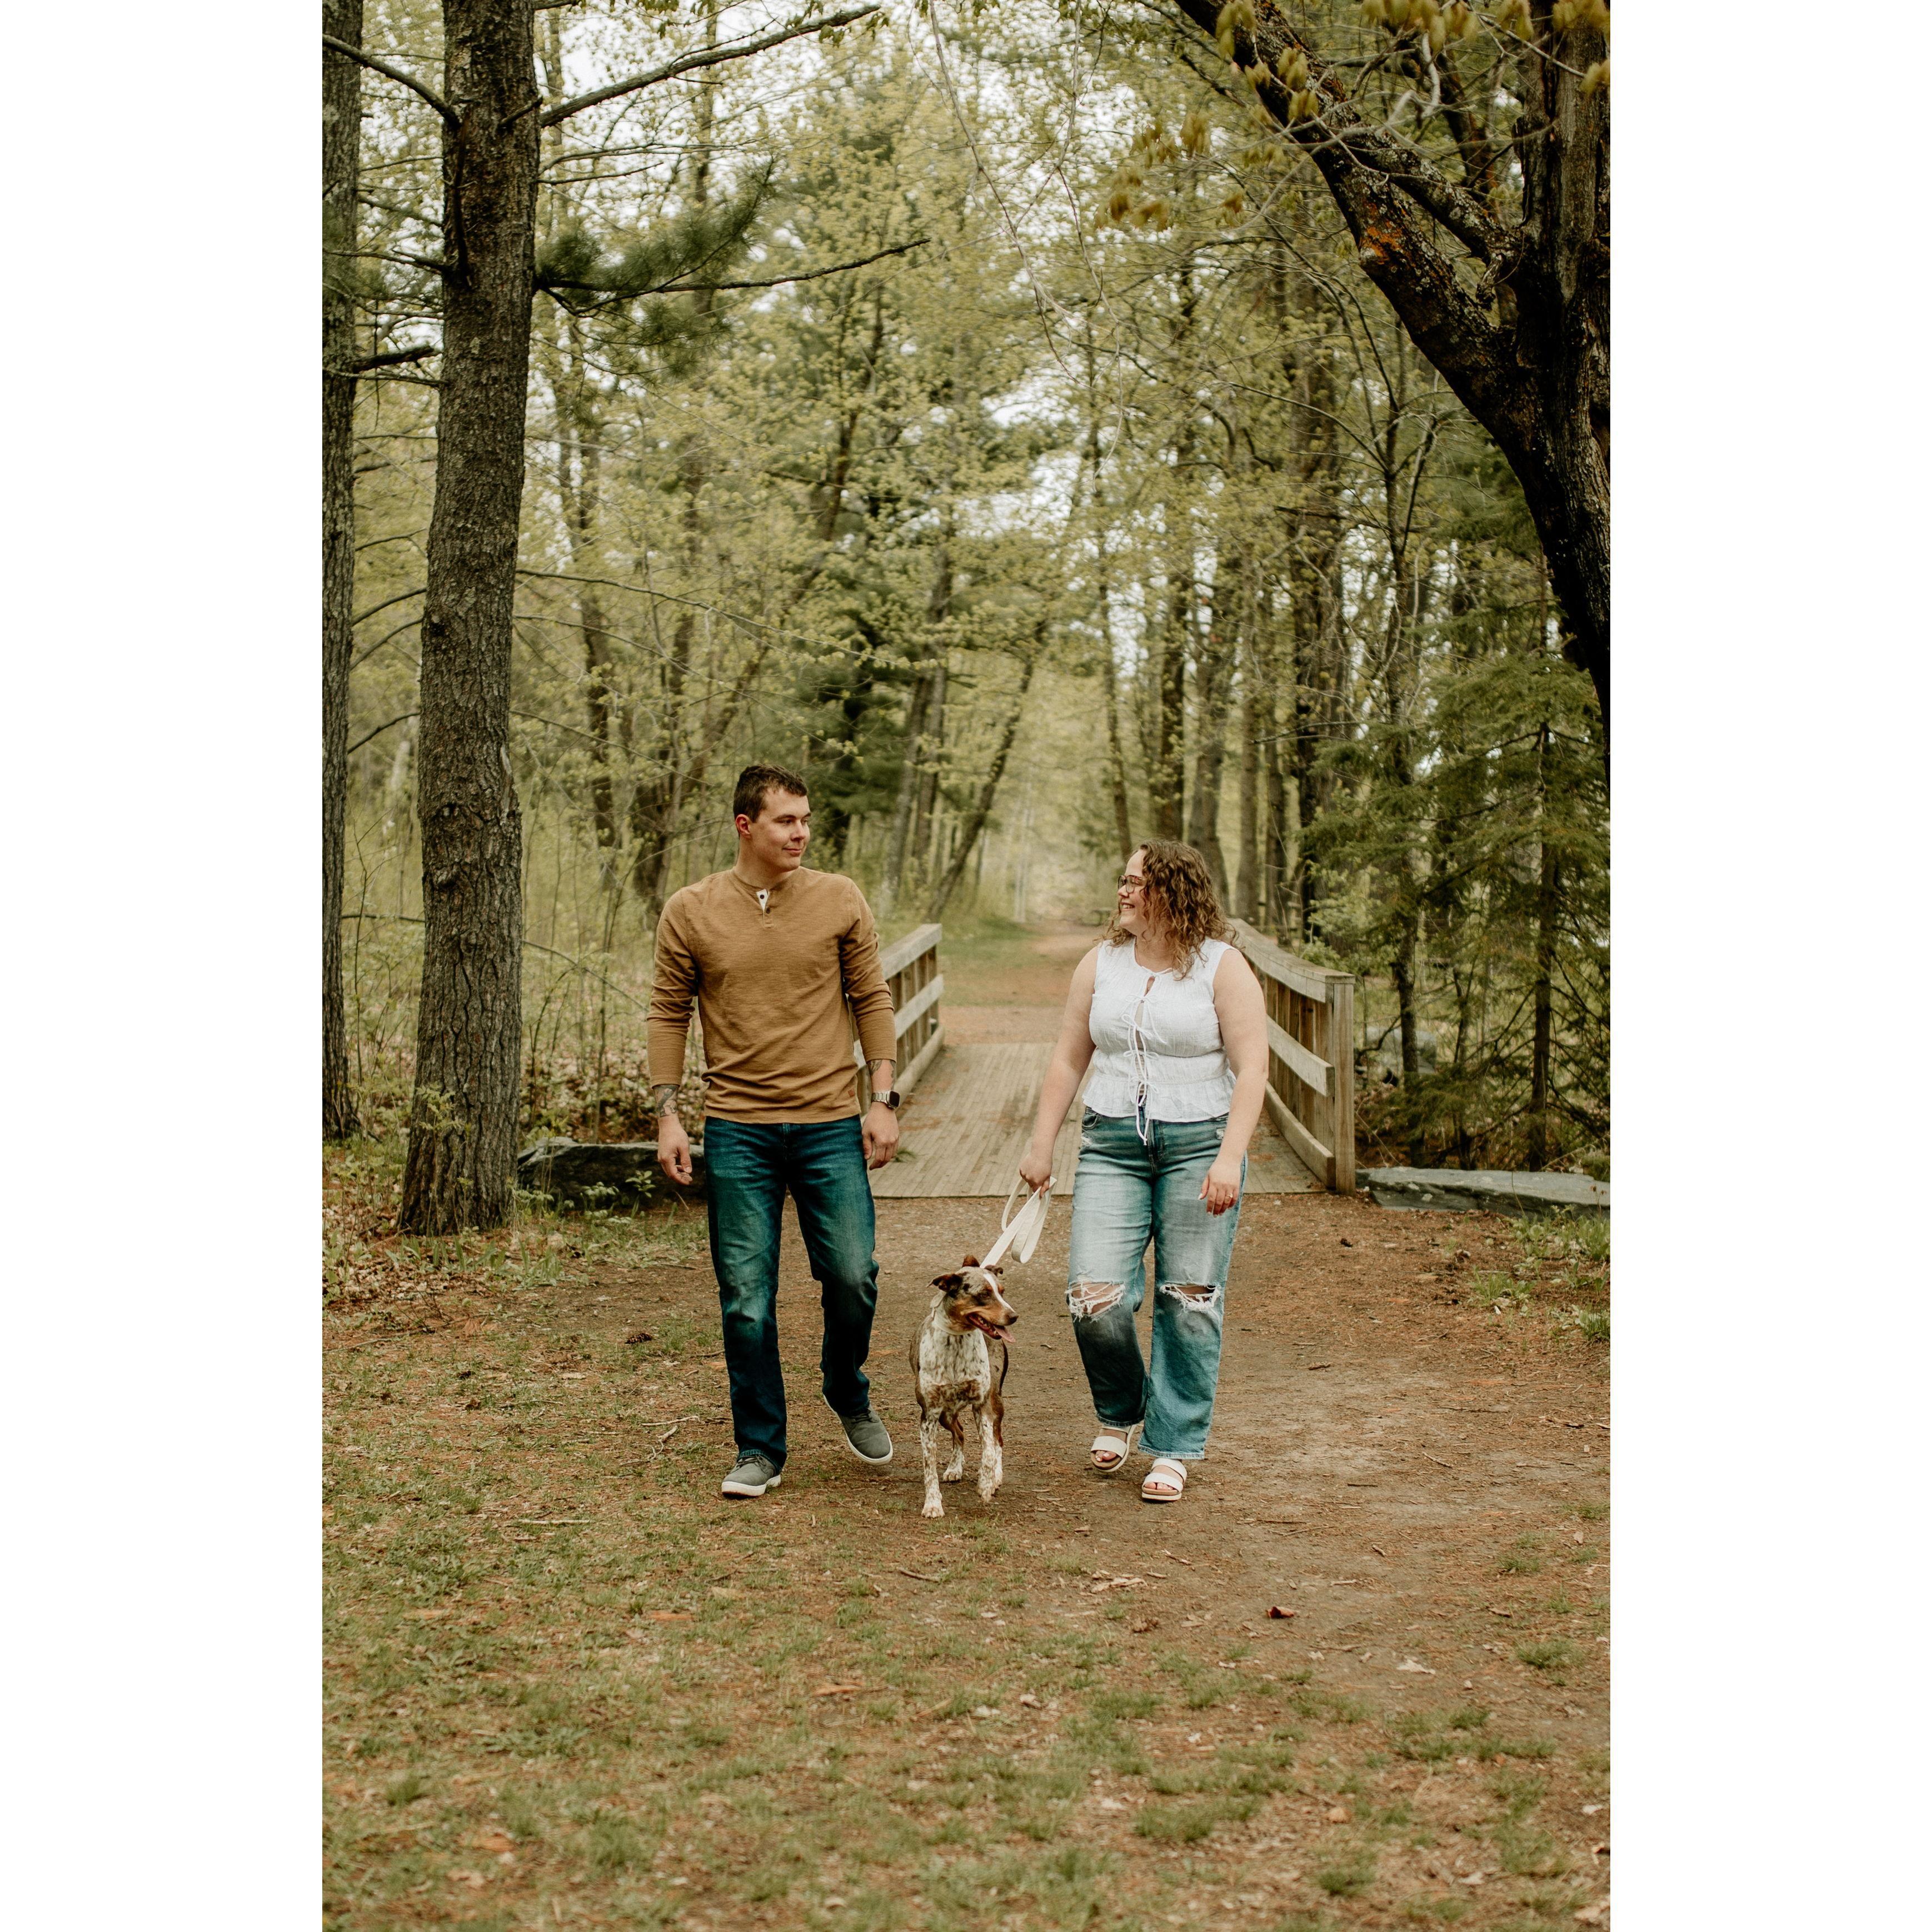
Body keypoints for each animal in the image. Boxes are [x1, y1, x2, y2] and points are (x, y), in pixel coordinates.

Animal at [908, 1255, 1018, 1519]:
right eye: (985, 1294)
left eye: (1002, 1292)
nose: (1013, 1316)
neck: (956, 1342)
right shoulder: (928, 1416)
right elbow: (929, 1468)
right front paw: (933, 1504)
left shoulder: (983, 1406)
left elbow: (988, 1451)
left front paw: (986, 1484)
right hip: (946, 1415)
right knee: (959, 1433)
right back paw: (955, 1467)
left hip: (996, 1401)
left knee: (998, 1440)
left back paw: (996, 1476)